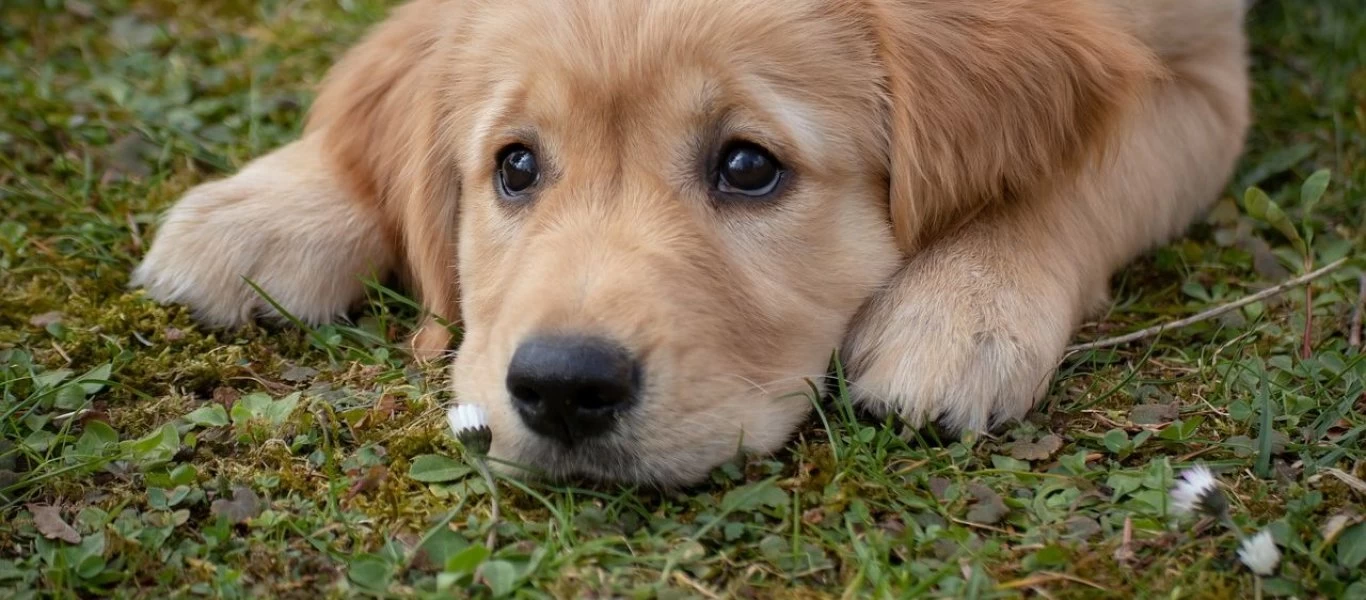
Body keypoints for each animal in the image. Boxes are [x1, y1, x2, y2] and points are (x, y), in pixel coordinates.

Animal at [130, 0, 1251, 483]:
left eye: (748, 167)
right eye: (515, 167)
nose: (562, 388)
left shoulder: (1202, 69)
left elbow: (1075, 174)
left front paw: (965, 304)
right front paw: (276, 203)